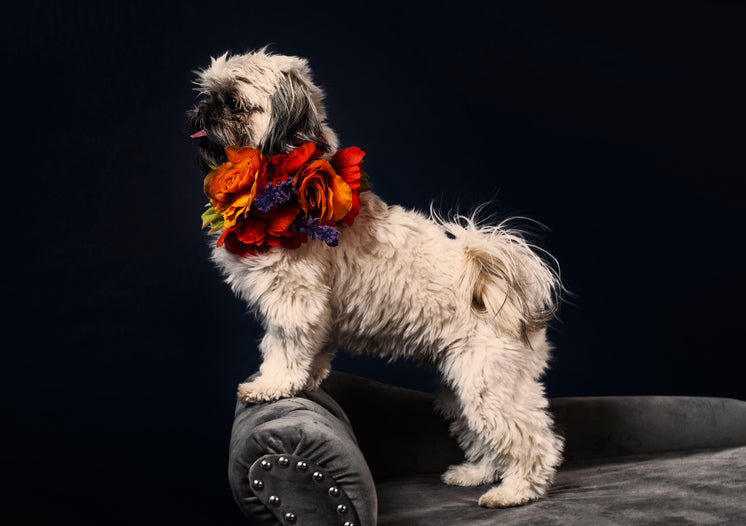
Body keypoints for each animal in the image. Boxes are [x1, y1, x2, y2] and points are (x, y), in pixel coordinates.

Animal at [189, 49, 560, 512]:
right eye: (207, 94)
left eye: (235, 104)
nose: (203, 110)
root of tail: (495, 287)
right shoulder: (318, 313)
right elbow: (314, 351)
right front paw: (307, 380)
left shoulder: (294, 299)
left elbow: (281, 348)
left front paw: (270, 385)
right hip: (461, 384)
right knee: (486, 435)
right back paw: (476, 473)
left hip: (487, 382)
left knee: (533, 440)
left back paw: (515, 491)